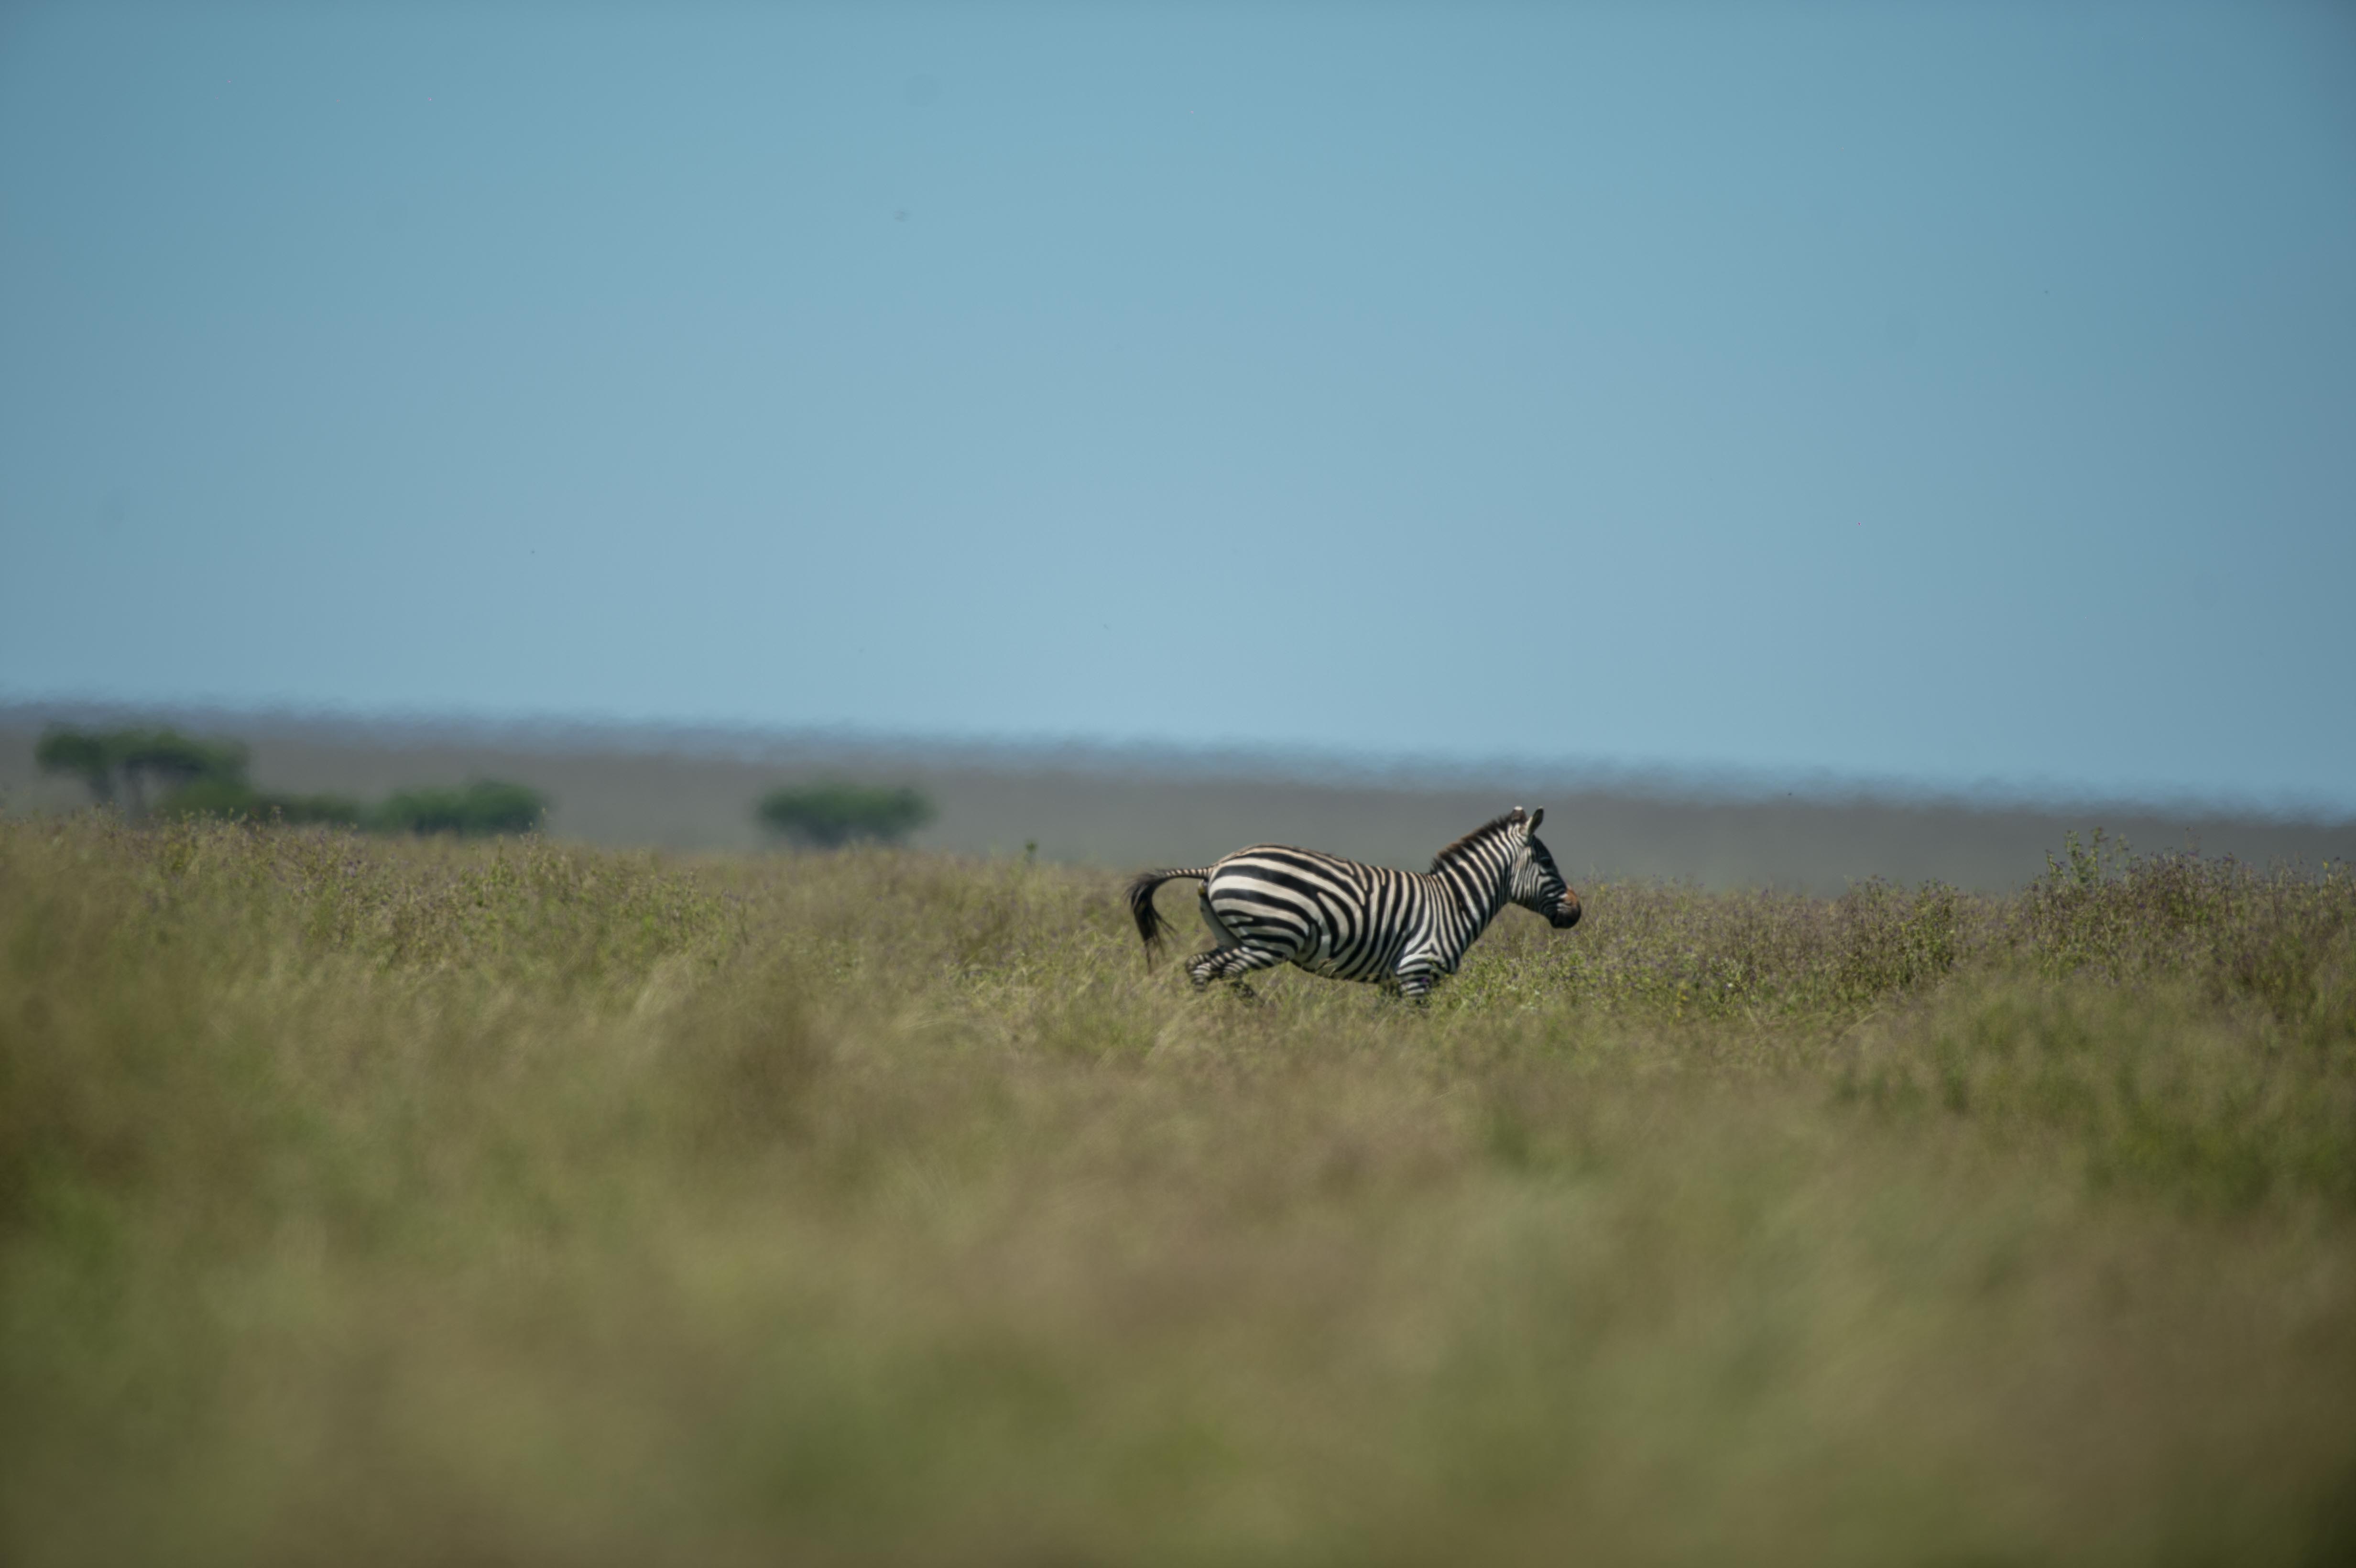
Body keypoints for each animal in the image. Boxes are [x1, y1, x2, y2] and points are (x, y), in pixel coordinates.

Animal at [1125, 807, 1581, 1002]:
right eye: (1546, 862)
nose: (1576, 910)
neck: (1457, 901)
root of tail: (1217, 865)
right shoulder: (1416, 971)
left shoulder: (1394, 981)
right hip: (1270, 939)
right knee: (1217, 970)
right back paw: (1238, 1019)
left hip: (1234, 936)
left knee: (1207, 968)